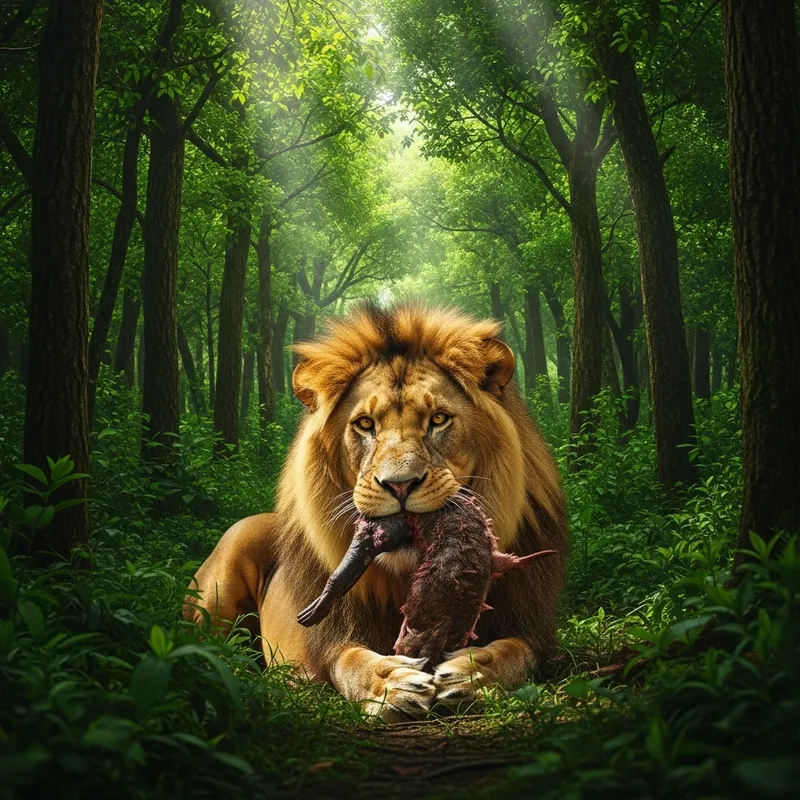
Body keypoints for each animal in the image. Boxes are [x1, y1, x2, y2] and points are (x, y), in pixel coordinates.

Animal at [185, 303, 568, 722]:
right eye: (365, 424)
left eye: (438, 419)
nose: (400, 485)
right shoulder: (329, 641)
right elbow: (352, 661)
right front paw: (392, 685)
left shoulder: (535, 631)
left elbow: (514, 652)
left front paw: (470, 675)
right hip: (233, 550)